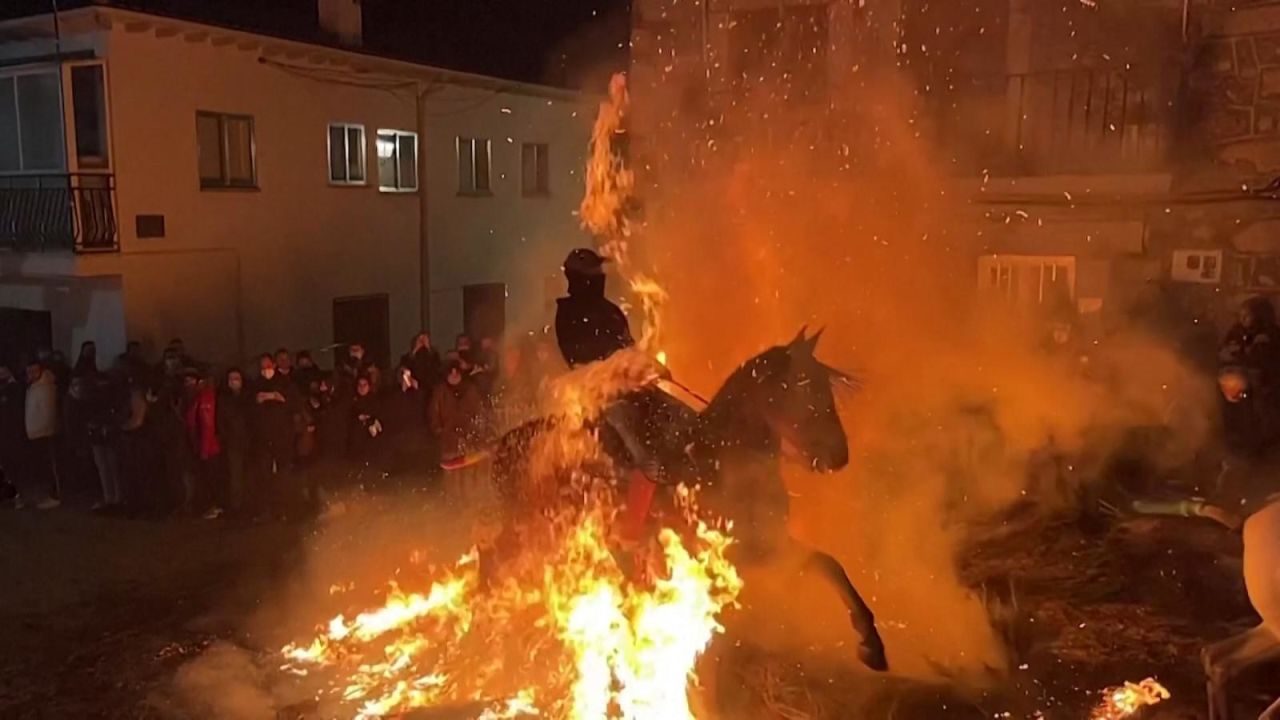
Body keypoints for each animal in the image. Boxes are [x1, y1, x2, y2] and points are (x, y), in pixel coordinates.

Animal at [488, 327, 890, 671]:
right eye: (803, 389)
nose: (839, 456)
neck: (719, 457)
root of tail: (505, 444)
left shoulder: (768, 543)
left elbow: (827, 563)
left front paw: (871, 642)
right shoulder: (736, 552)